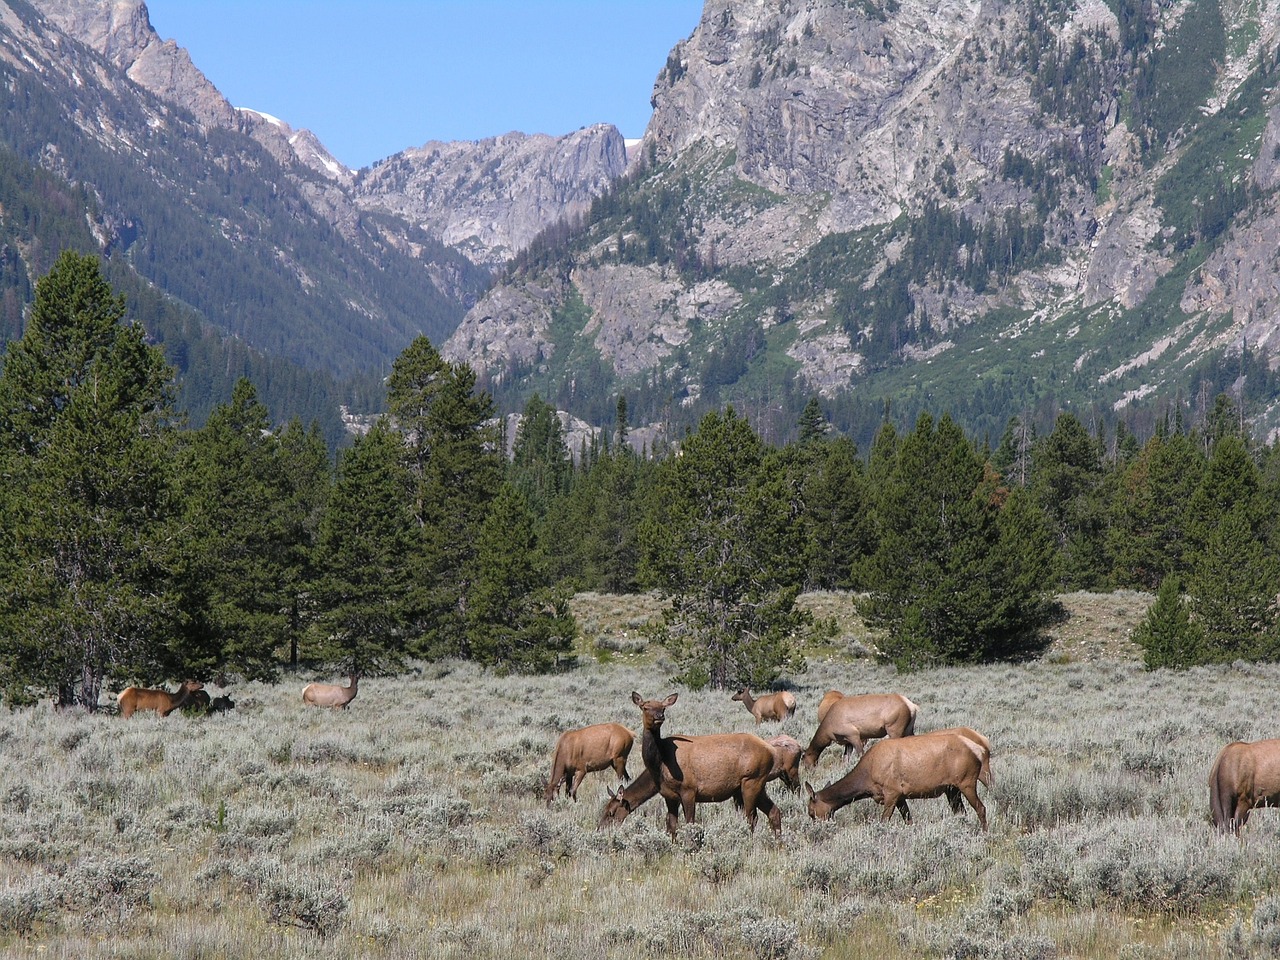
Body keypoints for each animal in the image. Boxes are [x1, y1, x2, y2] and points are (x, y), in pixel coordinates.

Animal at [628, 691, 783, 837]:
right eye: (645, 707)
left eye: (663, 707)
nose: (659, 716)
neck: (660, 763)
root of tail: (771, 750)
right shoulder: (669, 796)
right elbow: (671, 826)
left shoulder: (689, 789)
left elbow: (690, 823)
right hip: (753, 784)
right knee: (774, 811)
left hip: (752, 780)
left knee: (752, 817)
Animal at [805, 729, 989, 830]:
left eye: (811, 813)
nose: (816, 829)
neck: (866, 779)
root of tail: (978, 749)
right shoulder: (900, 796)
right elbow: (909, 820)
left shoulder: (891, 792)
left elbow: (883, 821)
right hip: (951, 788)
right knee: (961, 812)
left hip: (967, 782)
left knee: (981, 808)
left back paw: (984, 833)